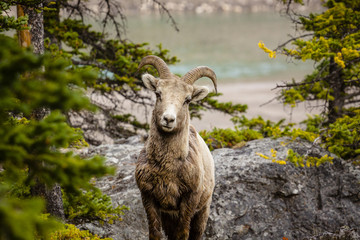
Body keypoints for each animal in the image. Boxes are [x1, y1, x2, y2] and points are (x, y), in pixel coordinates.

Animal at [134, 55, 214, 239]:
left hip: (203, 211)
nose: (168, 119)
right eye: (158, 93)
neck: (167, 170)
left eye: (187, 99)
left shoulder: (189, 201)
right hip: (169, 218)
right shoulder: (149, 198)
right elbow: (155, 233)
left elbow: (182, 234)